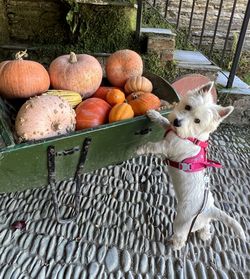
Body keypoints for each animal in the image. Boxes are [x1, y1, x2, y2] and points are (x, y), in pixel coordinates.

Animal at [136, 82, 245, 250]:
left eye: (197, 121)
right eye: (188, 107)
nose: (177, 122)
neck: (191, 137)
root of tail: (208, 209)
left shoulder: (166, 147)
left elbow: (152, 146)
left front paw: (139, 149)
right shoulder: (172, 130)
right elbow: (164, 121)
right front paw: (154, 114)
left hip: (182, 222)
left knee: (181, 237)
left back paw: (174, 245)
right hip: (202, 221)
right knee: (206, 226)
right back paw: (205, 235)